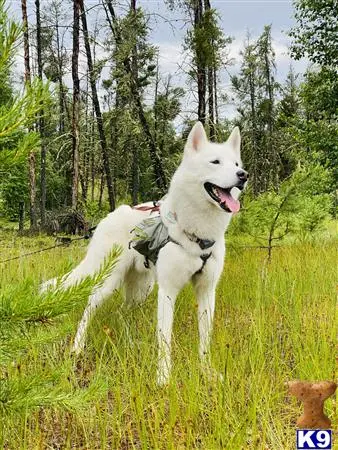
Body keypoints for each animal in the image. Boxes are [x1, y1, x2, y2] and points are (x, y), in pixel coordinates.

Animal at [42, 122, 248, 384]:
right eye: (215, 162)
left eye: (236, 164)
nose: (243, 175)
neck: (196, 234)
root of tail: (109, 216)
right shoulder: (168, 292)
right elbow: (164, 340)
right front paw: (163, 378)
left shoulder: (206, 292)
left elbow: (204, 341)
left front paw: (207, 371)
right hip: (109, 283)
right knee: (88, 310)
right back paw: (77, 347)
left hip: (142, 289)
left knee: (122, 312)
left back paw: (130, 342)